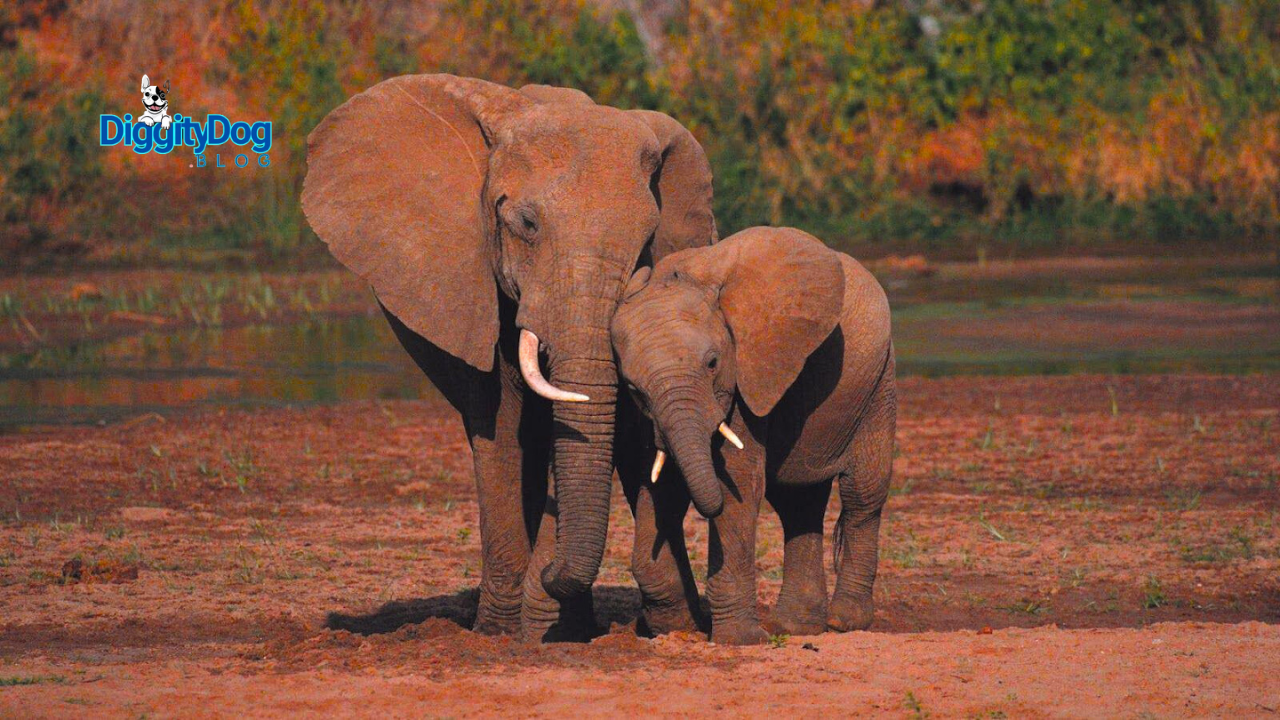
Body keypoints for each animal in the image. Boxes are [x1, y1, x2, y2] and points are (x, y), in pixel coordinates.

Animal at [301, 75, 717, 641]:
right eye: (526, 224)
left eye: (646, 241)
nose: (550, 571)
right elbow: (498, 425)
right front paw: (503, 632)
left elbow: (623, 427)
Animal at [609, 226, 897, 644]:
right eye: (632, 387)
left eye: (713, 363)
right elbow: (661, 484)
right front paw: (676, 629)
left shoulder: (747, 375)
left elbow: (739, 484)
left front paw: (739, 640)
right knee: (798, 503)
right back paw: (797, 627)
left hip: (878, 384)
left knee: (862, 494)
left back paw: (844, 622)